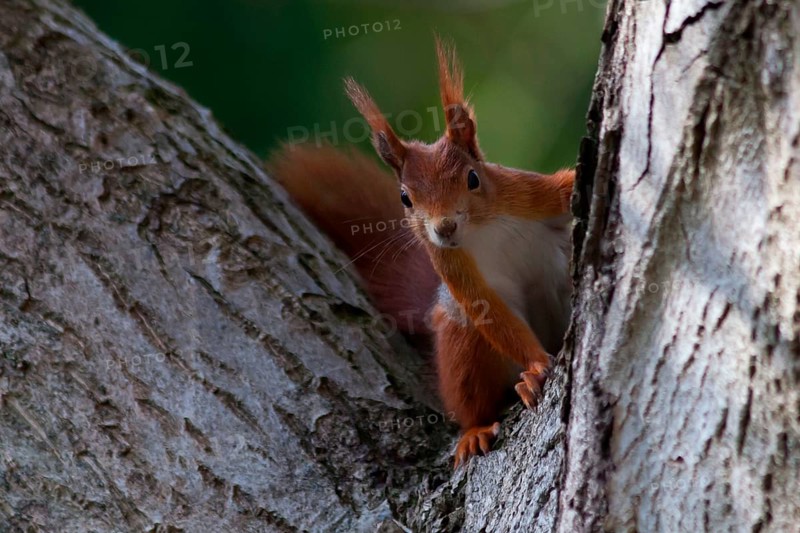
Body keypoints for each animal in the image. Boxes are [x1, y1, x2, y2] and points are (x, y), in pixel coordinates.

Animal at [270, 37, 574, 468]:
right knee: (470, 391)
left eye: (473, 178)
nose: (444, 228)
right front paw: (536, 367)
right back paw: (476, 429)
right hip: (458, 340)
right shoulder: (451, 265)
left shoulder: (527, 193)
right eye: (405, 198)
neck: (482, 228)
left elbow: (564, 187)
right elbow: (486, 309)